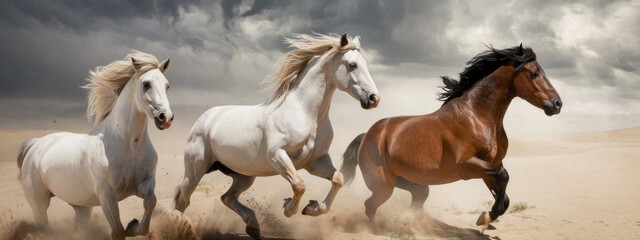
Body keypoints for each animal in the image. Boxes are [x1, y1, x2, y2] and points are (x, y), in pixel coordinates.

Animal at [17, 51, 172, 240]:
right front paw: (129, 227)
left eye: (167, 86)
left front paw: (133, 226)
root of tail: (35, 144)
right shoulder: (107, 195)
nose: (166, 118)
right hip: (39, 203)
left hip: (82, 206)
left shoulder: (146, 183)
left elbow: (150, 203)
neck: (128, 146)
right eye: (146, 84)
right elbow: (118, 232)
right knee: (43, 225)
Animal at [172, 33, 380, 238]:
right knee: (183, 200)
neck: (305, 113)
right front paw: (289, 208)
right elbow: (299, 185)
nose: (374, 98)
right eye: (352, 65)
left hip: (243, 175)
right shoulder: (278, 156)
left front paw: (312, 208)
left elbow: (337, 180)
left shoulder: (316, 161)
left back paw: (253, 227)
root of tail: (205, 118)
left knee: (227, 197)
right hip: (196, 169)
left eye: (365, 63)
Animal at [342, 44, 564, 229]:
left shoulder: (489, 166)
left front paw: (486, 217)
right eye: (534, 73)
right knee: (370, 206)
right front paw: (486, 216)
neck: (477, 116)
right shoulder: (467, 165)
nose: (557, 104)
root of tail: (367, 136)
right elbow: (504, 177)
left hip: (412, 183)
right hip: (383, 186)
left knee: (414, 202)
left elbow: (505, 193)